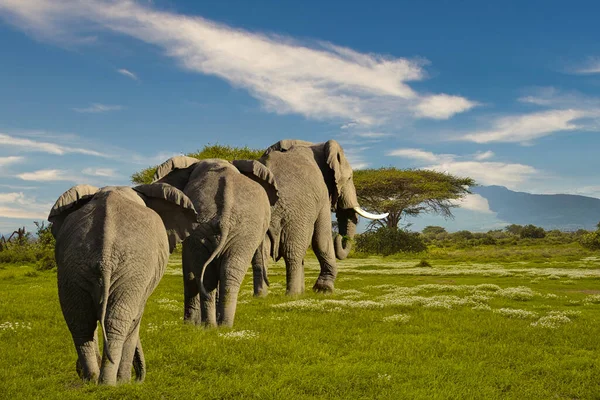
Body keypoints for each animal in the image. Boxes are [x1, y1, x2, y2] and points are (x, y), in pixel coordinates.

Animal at [48, 184, 199, 384]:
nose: (138, 379)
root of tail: (105, 257)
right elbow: (135, 320)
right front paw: (126, 382)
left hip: (73, 266)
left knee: (80, 321)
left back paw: (91, 380)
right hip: (131, 270)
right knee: (117, 321)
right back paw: (109, 384)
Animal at [154, 156, 278, 328]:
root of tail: (225, 217)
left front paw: (189, 324)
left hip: (217, 228)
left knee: (210, 273)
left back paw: (212, 325)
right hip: (238, 230)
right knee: (228, 271)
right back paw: (221, 326)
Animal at [251, 139, 386, 296]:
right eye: (349, 178)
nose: (339, 237)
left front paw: (310, 291)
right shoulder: (322, 193)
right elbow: (321, 238)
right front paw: (323, 290)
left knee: (259, 254)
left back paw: (261, 296)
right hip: (295, 214)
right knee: (293, 251)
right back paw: (292, 296)